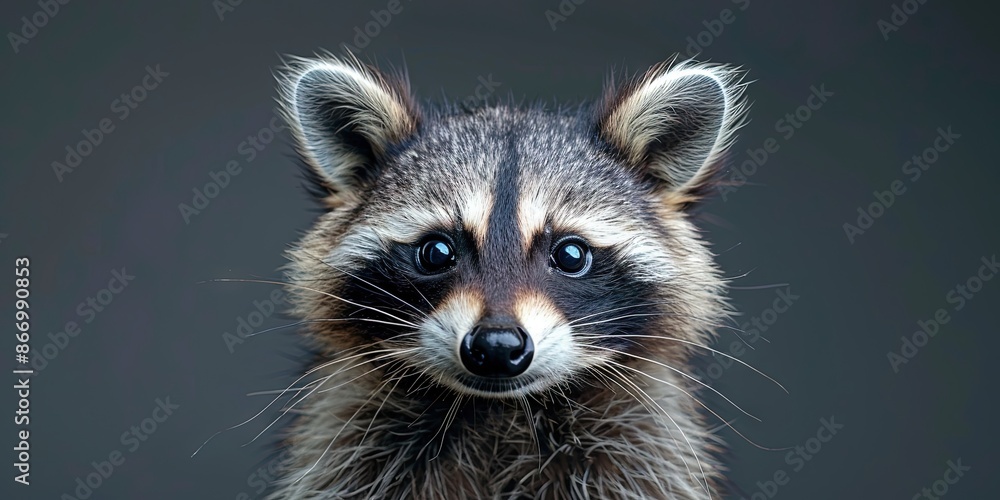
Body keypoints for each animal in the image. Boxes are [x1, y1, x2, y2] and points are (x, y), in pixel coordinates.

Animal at [265, 53, 748, 499]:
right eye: (436, 252)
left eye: (571, 254)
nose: (496, 345)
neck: (501, 411)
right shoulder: (349, 441)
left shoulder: (641, 446)